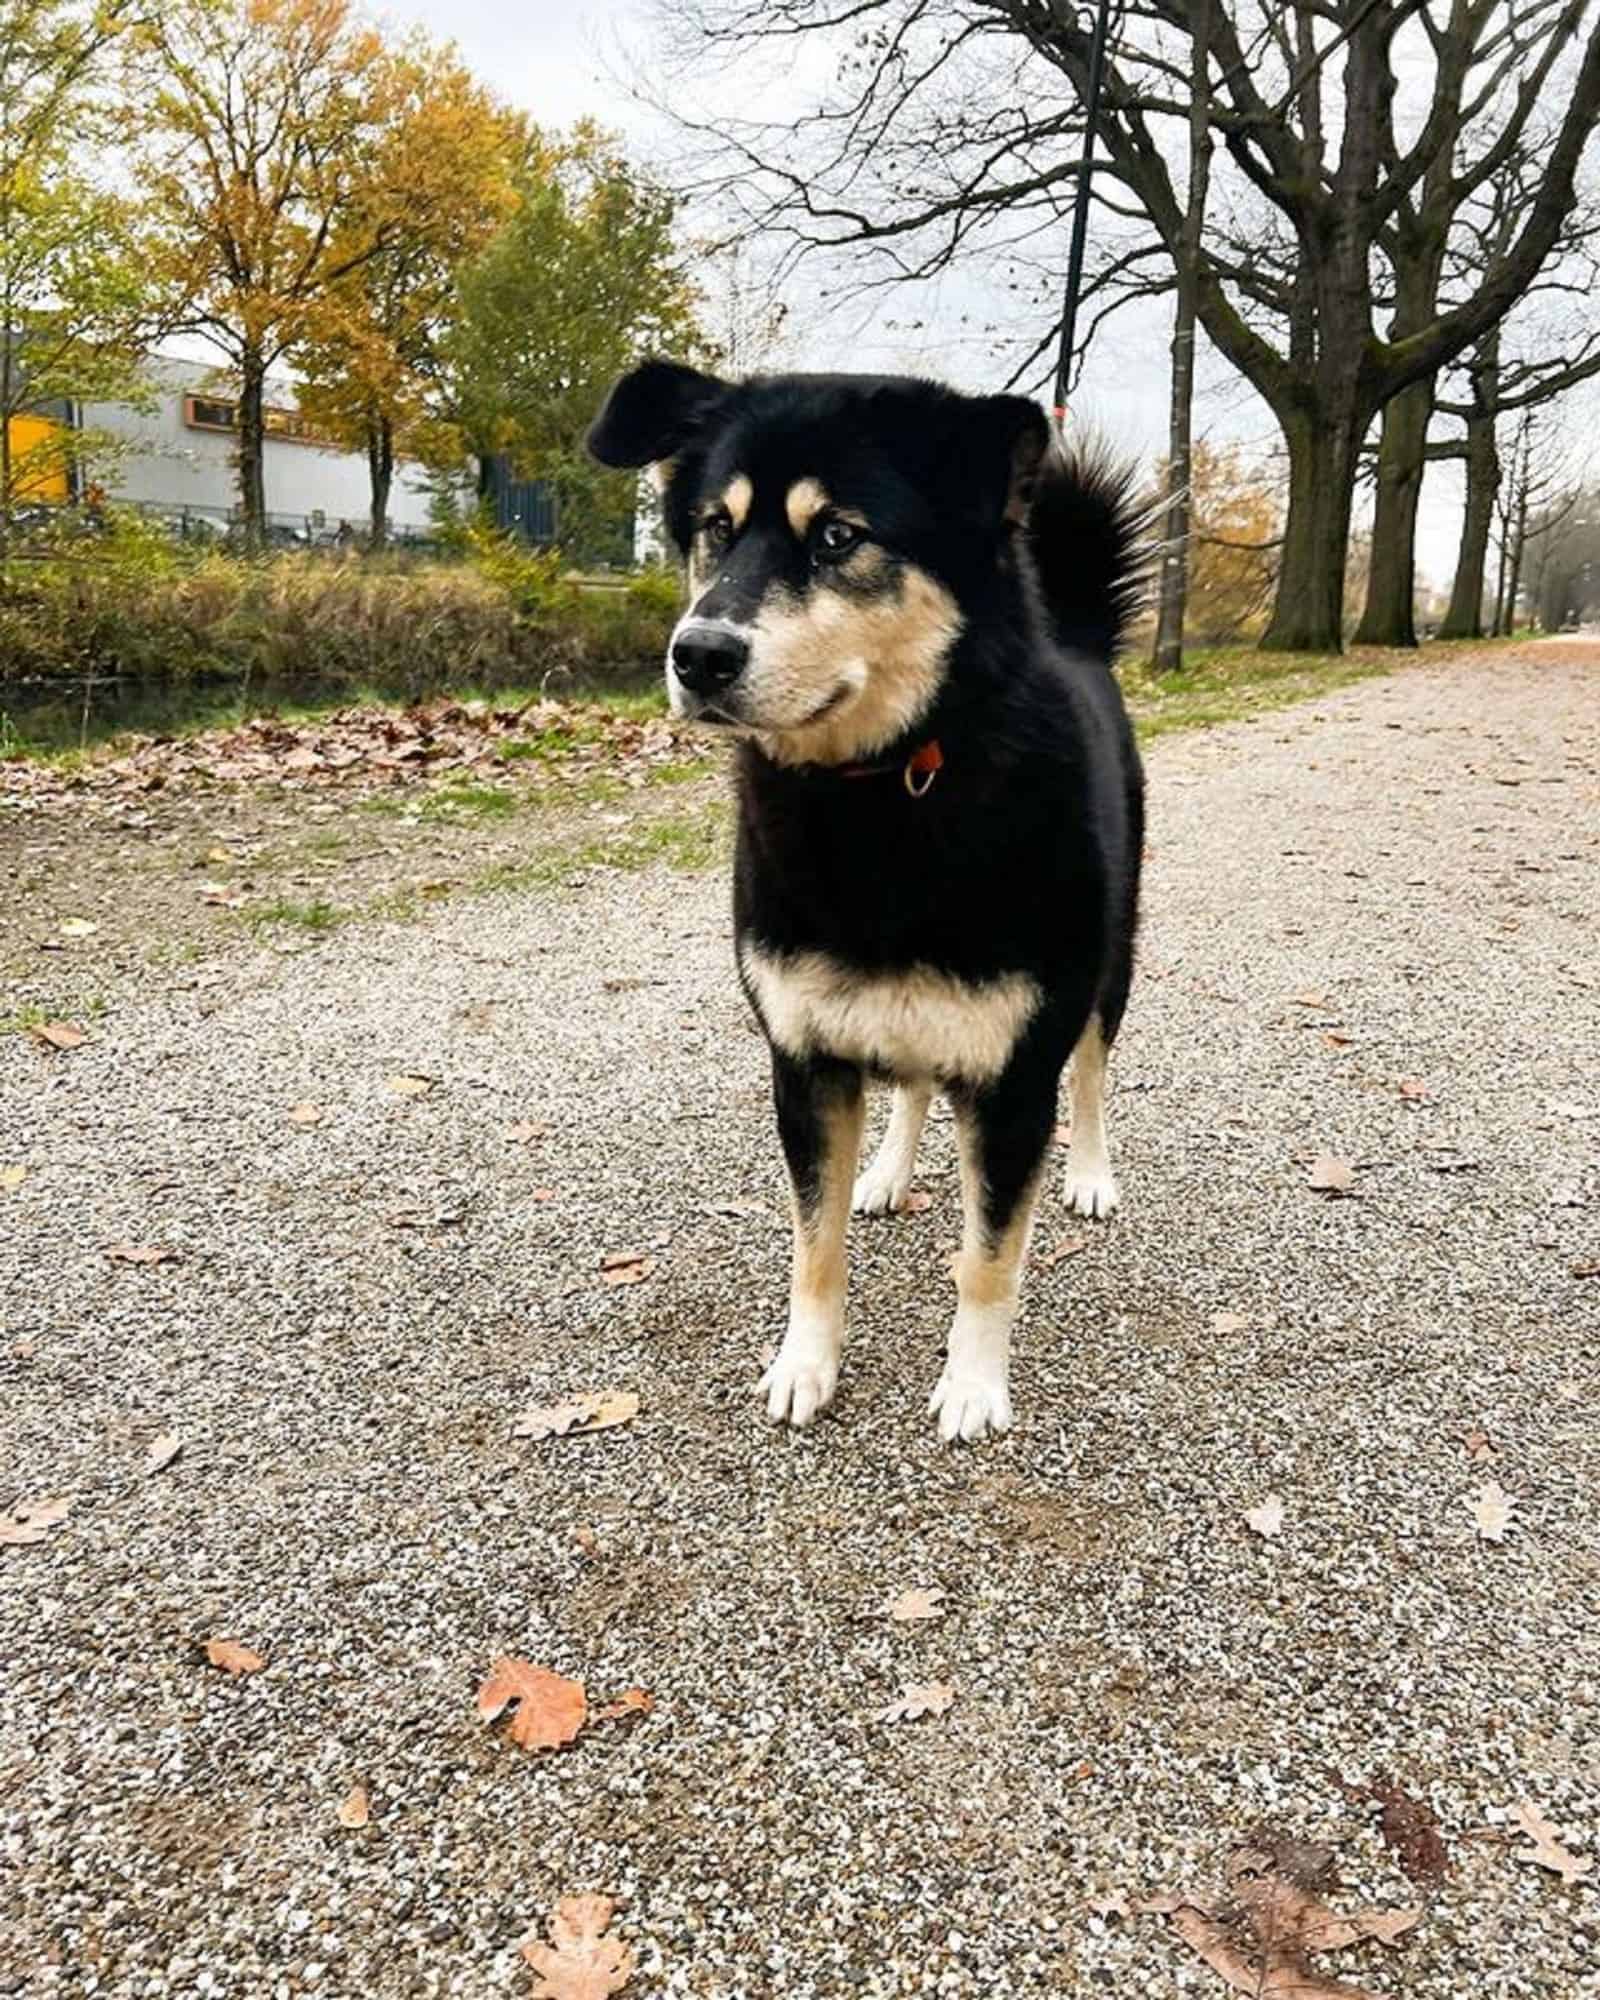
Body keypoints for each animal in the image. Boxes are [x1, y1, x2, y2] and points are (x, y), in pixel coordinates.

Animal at [592, 364, 1144, 1440]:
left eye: (840, 535)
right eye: (715, 527)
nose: (697, 654)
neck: (882, 785)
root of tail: (1079, 637)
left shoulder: (1015, 1077)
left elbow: (988, 1256)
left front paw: (973, 1384)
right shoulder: (805, 1060)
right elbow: (815, 1242)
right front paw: (806, 1363)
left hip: (1110, 965)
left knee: (1094, 1072)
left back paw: (1093, 1175)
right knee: (916, 1082)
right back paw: (888, 1171)